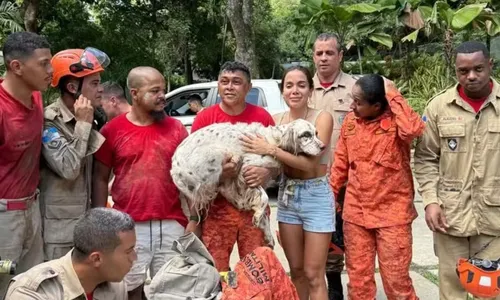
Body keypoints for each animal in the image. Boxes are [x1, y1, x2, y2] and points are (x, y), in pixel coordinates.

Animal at [172, 118, 326, 247]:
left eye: (316, 133)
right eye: (306, 135)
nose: (323, 146)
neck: (273, 141)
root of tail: (175, 167)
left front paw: (267, 234)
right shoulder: (245, 168)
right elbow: (263, 198)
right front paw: (257, 216)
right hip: (218, 154)